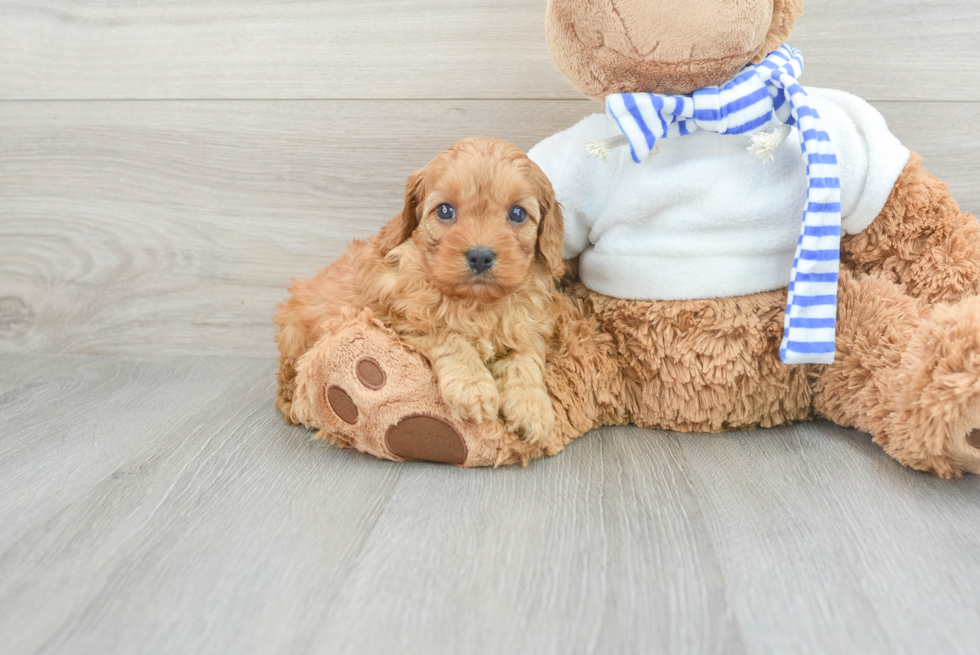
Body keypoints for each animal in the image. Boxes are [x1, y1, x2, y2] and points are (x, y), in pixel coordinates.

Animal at [276, 138, 568, 446]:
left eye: (517, 213)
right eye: (445, 211)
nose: (480, 256)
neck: (477, 303)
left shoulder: (528, 324)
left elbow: (525, 359)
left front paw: (533, 408)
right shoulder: (399, 317)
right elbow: (449, 335)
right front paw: (473, 388)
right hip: (295, 336)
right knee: (289, 388)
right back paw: (305, 410)